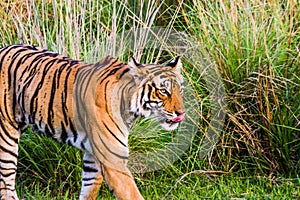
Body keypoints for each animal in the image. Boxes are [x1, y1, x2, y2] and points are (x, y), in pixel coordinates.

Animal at [0, 44, 185, 200]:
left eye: (180, 90)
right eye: (163, 91)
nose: (182, 113)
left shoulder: (93, 155)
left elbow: (89, 189)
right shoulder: (112, 159)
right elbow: (131, 194)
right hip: (6, 135)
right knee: (6, 183)